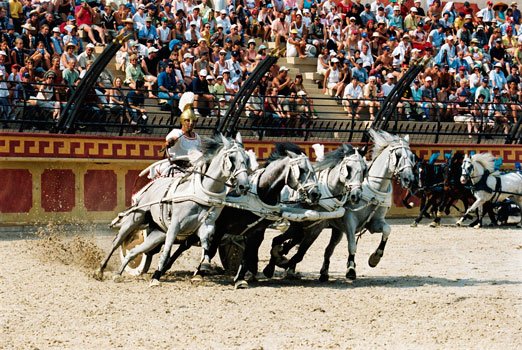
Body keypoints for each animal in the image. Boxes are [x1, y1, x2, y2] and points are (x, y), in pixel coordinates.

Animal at [97, 133, 252, 284]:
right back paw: (100, 270)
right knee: (117, 242)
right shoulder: (174, 226)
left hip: (157, 233)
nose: (244, 186)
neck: (201, 193)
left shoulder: (206, 226)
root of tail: (151, 185)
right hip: (135, 218)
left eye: (247, 158)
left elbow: (206, 244)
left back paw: (118, 274)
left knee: (133, 251)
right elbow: (167, 250)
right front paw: (156, 276)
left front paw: (204, 267)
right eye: (231, 158)